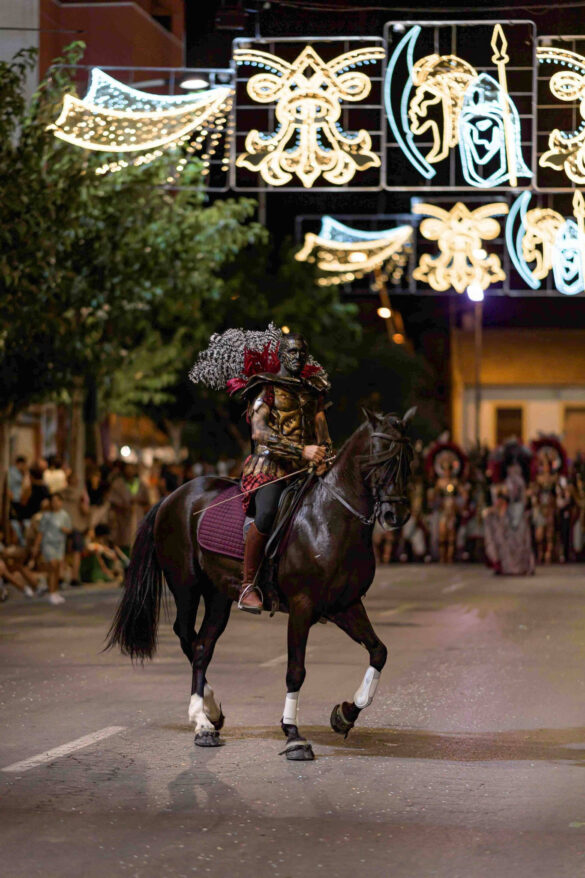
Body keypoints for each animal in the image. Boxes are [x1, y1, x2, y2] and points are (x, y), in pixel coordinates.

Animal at [106, 408, 414, 761]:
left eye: (409, 458)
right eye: (382, 457)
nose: (396, 515)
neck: (330, 519)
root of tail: (171, 497)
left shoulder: (345, 605)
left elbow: (379, 651)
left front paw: (345, 713)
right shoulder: (302, 607)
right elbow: (296, 670)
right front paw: (293, 735)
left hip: (219, 596)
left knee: (201, 646)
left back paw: (210, 716)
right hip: (186, 586)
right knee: (186, 635)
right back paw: (202, 719)